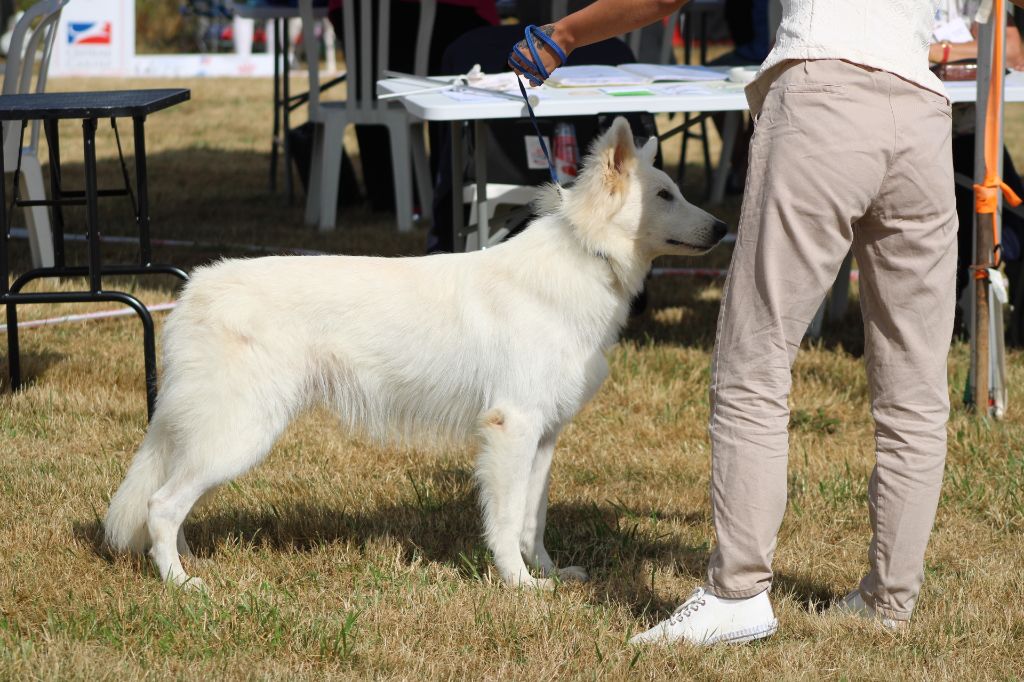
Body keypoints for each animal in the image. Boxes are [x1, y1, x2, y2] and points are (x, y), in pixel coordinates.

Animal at [103, 116, 729, 589]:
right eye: (665, 195)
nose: (724, 228)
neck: (583, 256)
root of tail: (194, 289)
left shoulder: (543, 435)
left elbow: (534, 519)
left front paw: (549, 576)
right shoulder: (511, 429)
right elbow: (506, 520)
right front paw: (519, 586)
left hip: (219, 437)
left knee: (168, 502)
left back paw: (183, 564)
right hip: (240, 434)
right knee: (161, 505)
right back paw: (181, 583)